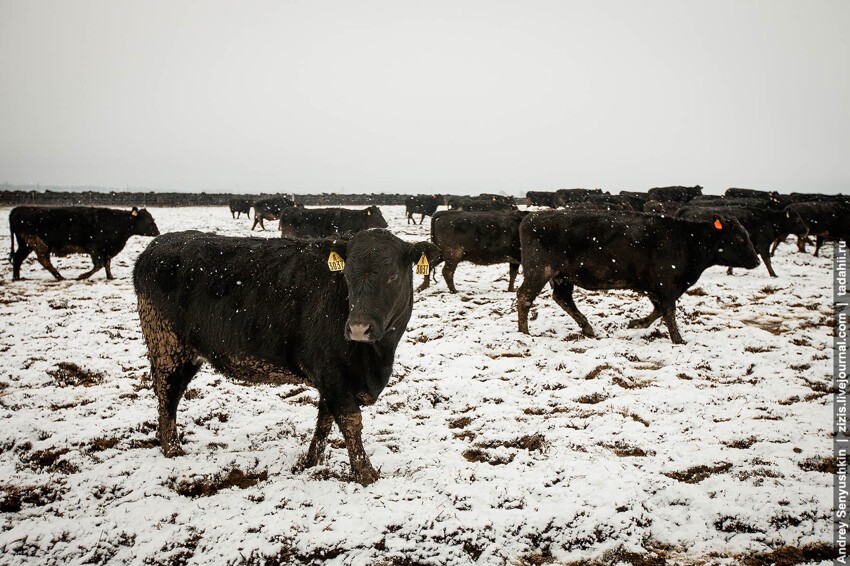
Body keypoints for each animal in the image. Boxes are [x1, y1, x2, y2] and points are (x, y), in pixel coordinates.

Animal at [9, 206, 159, 282]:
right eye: (148, 220)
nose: (157, 232)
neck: (118, 223)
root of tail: (18, 209)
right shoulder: (95, 248)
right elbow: (98, 265)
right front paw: (82, 276)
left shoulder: (106, 250)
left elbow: (107, 263)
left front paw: (110, 277)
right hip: (38, 243)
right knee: (43, 260)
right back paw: (60, 277)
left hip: (25, 245)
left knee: (17, 258)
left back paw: (17, 278)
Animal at [134, 229, 438, 486]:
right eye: (347, 276)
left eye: (392, 277)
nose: (358, 328)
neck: (377, 357)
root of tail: (156, 246)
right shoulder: (332, 371)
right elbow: (350, 420)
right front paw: (365, 472)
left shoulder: (332, 380)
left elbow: (324, 421)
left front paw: (310, 462)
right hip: (167, 345)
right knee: (168, 395)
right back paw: (172, 449)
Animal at [512, 212, 760, 344]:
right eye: (739, 238)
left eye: (747, 235)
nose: (757, 261)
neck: (687, 240)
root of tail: (530, 217)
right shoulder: (666, 285)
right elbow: (669, 311)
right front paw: (678, 340)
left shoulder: (655, 287)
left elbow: (658, 310)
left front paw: (636, 323)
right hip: (539, 271)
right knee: (524, 296)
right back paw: (524, 333)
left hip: (562, 277)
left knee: (562, 298)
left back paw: (587, 328)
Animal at [672, 206, 804, 278]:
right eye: (798, 220)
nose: (806, 230)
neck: (769, 221)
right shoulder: (763, 244)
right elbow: (767, 260)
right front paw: (773, 274)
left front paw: (729, 271)